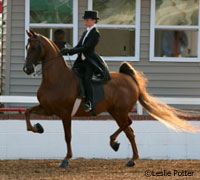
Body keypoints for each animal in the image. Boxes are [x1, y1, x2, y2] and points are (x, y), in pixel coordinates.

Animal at [23, 30, 198, 168]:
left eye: (34, 47)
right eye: (26, 47)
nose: (27, 69)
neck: (56, 79)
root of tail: (129, 79)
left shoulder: (65, 113)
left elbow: (68, 136)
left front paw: (66, 159)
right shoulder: (48, 109)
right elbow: (27, 112)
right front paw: (38, 127)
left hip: (120, 112)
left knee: (128, 124)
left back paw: (115, 143)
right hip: (115, 112)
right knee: (129, 131)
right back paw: (131, 159)